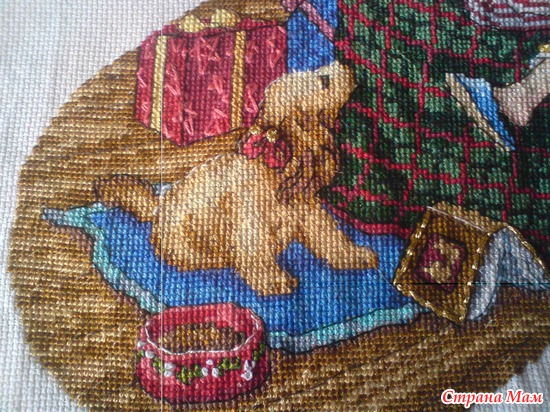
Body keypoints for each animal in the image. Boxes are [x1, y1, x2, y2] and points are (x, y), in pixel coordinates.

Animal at [96, 62, 379, 296]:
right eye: (324, 81)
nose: (347, 65)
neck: (274, 162)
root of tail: (158, 206)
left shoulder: (309, 213)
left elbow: (332, 239)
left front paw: (354, 256)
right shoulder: (250, 223)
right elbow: (256, 255)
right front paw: (273, 281)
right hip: (184, 241)